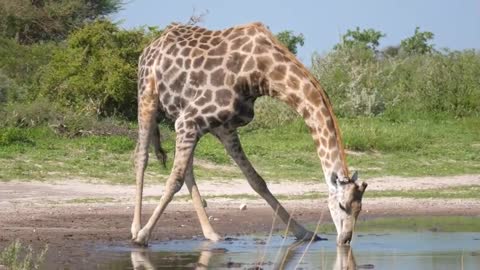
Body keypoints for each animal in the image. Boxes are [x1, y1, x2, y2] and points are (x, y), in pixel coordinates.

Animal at [131, 22, 368, 247]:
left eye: (360, 208)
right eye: (341, 205)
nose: (345, 239)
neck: (263, 73)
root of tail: (151, 45)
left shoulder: (224, 128)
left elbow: (256, 180)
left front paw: (305, 232)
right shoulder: (190, 119)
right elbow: (174, 180)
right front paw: (143, 236)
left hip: (183, 117)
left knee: (188, 170)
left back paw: (211, 234)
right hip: (148, 94)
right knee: (141, 156)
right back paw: (135, 228)